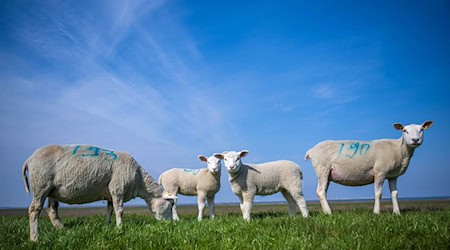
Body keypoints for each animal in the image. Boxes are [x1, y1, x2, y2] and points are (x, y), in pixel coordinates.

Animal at [22, 145, 175, 242]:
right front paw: (120, 228)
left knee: (52, 210)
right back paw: (35, 238)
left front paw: (107, 227)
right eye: (169, 206)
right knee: (34, 210)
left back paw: (62, 230)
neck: (139, 180)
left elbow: (109, 211)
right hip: (41, 185)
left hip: (52, 190)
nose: (170, 226)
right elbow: (119, 211)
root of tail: (30, 159)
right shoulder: (117, 189)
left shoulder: (110, 194)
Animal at [304, 121, 434, 215]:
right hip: (323, 169)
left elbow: (394, 194)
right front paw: (376, 213)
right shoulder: (380, 171)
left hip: (328, 174)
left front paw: (397, 213)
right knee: (320, 191)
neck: (399, 149)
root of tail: (311, 150)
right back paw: (329, 213)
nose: (415, 140)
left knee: (323, 192)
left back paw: (326, 211)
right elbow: (378, 193)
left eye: (421, 130)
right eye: (404, 130)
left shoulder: (393, 175)